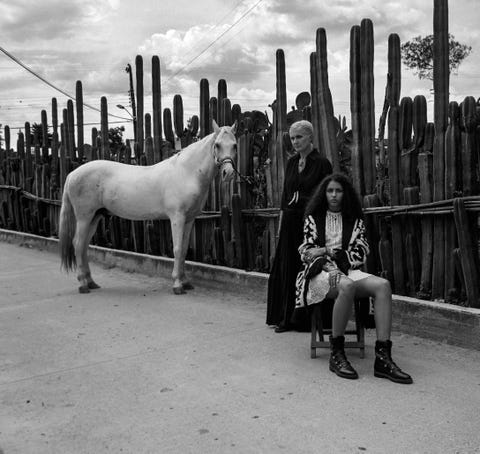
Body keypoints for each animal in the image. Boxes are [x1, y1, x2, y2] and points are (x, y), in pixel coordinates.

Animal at [58, 119, 238, 292]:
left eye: (235, 145)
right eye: (217, 145)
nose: (228, 173)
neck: (186, 173)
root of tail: (72, 174)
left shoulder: (189, 219)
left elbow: (184, 250)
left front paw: (185, 282)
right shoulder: (177, 218)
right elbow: (177, 249)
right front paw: (177, 285)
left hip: (95, 217)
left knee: (83, 246)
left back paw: (91, 282)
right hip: (84, 217)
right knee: (78, 244)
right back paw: (83, 284)